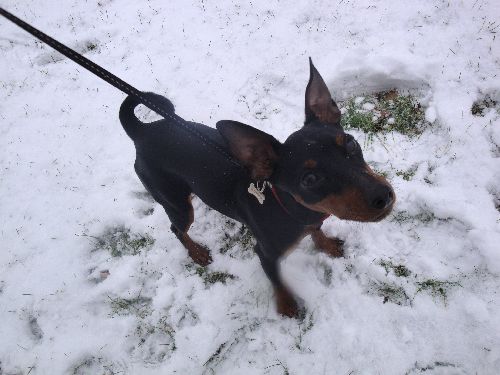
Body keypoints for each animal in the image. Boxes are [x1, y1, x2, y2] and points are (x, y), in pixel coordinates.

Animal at [118, 60, 394, 318]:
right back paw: (196, 253)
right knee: (177, 229)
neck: (292, 207)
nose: (383, 196)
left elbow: (317, 231)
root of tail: (142, 131)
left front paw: (326, 245)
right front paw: (287, 306)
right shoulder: (265, 254)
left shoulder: (312, 220)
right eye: (309, 179)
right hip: (175, 202)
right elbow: (277, 280)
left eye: (350, 143)